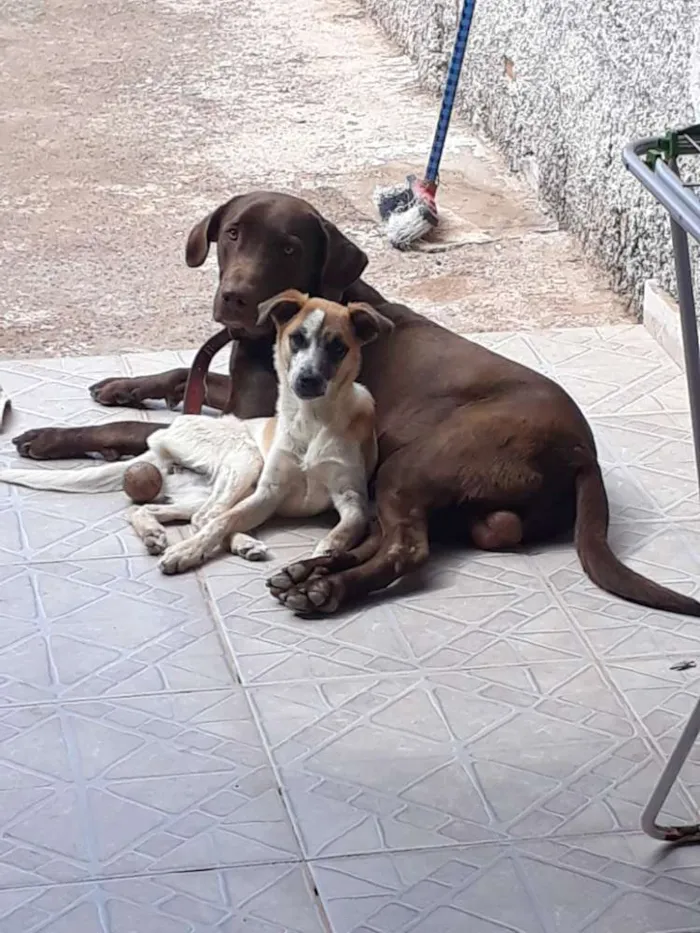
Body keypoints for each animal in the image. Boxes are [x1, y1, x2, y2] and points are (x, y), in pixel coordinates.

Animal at [0, 294, 394, 576]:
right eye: (296, 339)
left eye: (338, 347)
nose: (307, 380)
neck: (310, 422)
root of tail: (162, 439)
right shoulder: (268, 491)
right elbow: (223, 520)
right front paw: (188, 552)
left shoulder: (352, 498)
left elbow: (347, 527)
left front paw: (327, 551)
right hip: (245, 460)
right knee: (208, 517)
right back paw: (224, 542)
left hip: (208, 487)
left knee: (170, 512)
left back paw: (182, 535)